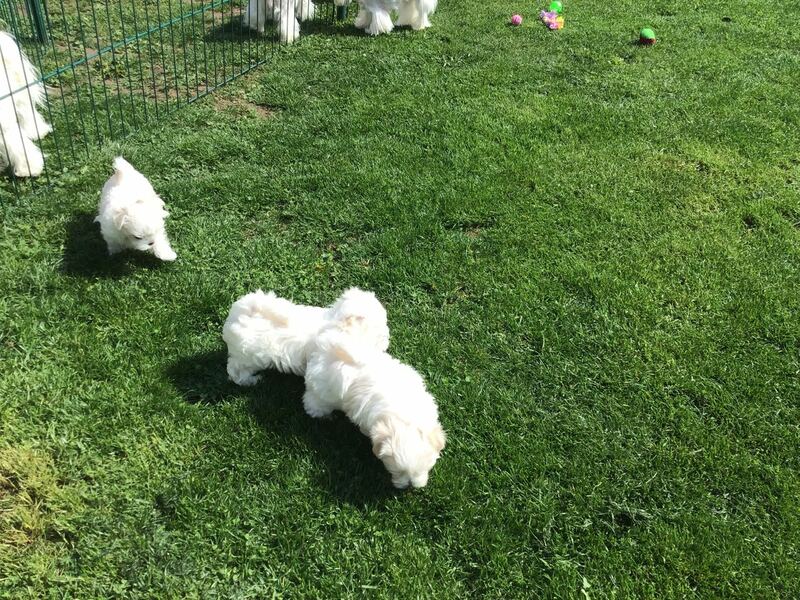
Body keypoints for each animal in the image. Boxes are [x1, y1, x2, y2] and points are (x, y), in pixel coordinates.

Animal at [223, 287, 390, 386]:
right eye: (381, 326)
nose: (388, 339)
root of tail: (242, 312)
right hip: (248, 357)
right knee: (234, 370)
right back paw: (251, 380)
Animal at [303, 328, 446, 488]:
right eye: (397, 472)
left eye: (421, 470)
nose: (409, 485)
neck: (404, 418)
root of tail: (323, 351)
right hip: (322, 397)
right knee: (313, 403)